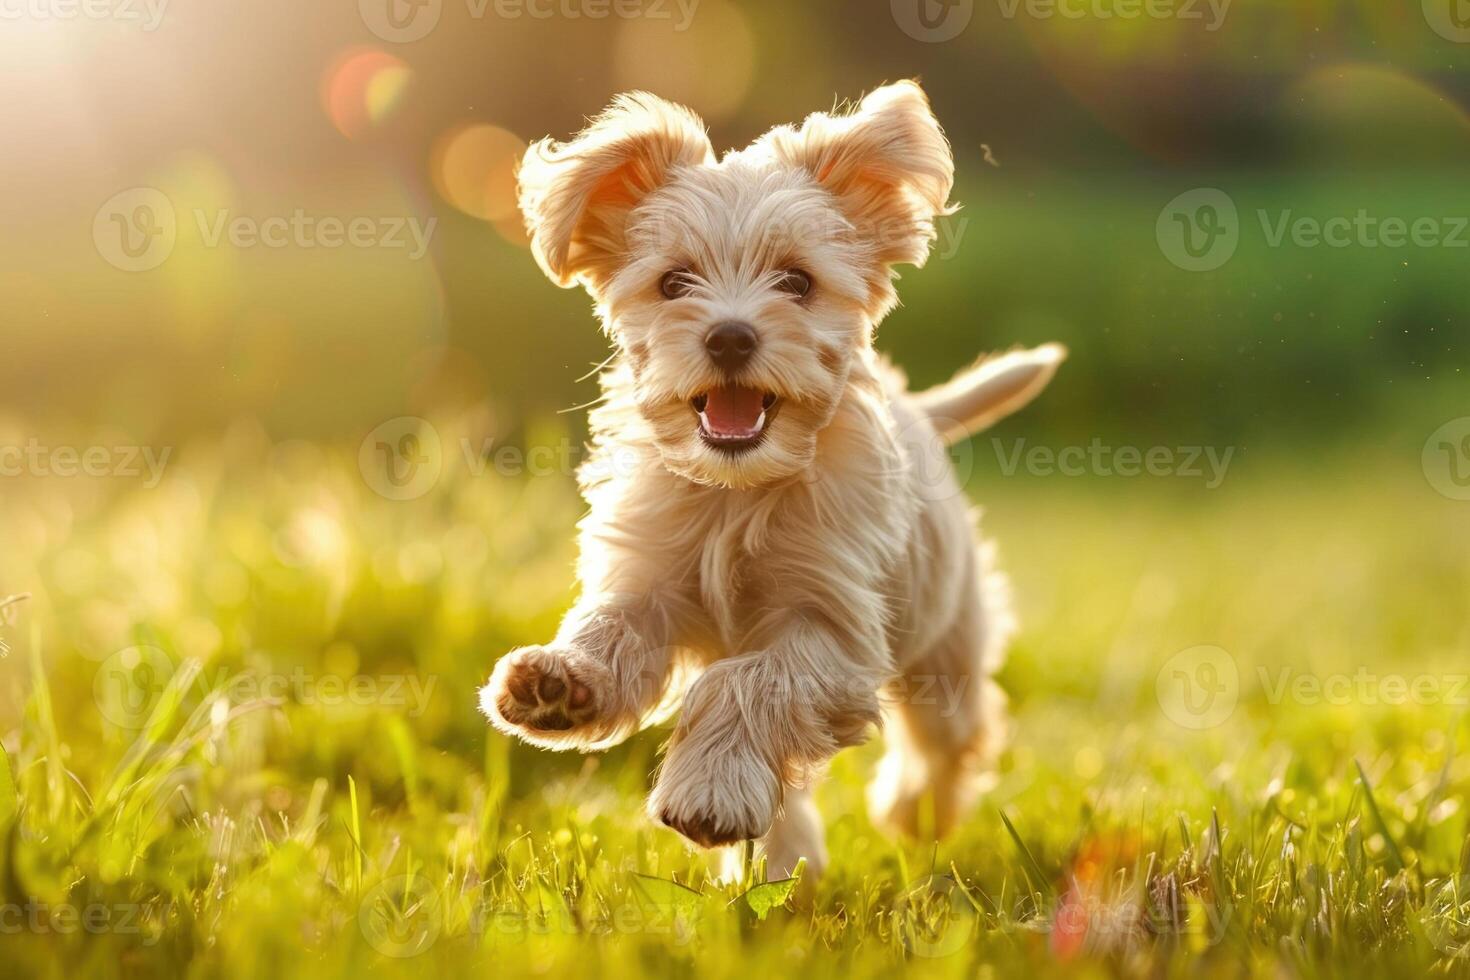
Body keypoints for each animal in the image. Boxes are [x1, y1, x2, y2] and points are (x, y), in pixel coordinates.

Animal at [482, 82, 1070, 881]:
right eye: (674, 282)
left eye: (797, 282)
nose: (730, 335)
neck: (739, 491)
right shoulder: (648, 581)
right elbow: (610, 628)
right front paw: (559, 681)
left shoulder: (833, 629)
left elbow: (748, 680)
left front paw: (704, 790)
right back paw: (783, 862)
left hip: (945, 641)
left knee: (953, 733)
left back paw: (910, 812)